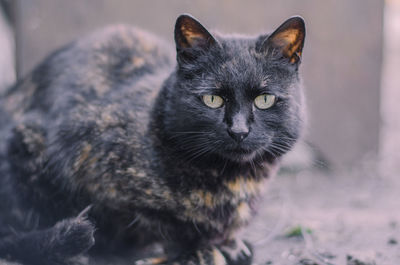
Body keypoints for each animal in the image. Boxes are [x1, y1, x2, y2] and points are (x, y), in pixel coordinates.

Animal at [0, 14, 306, 264]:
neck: (233, 180)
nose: (239, 131)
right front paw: (196, 250)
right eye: (212, 99)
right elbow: (153, 226)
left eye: (264, 100)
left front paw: (228, 244)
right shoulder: (83, 157)